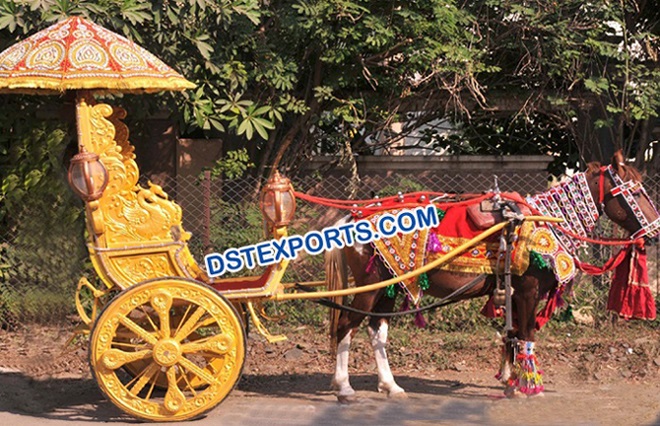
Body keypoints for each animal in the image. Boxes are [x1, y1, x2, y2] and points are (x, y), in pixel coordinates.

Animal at [326, 151, 660, 402]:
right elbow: (527, 334)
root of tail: (351, 217)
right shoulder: (528, 291)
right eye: (634, 191)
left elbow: (513, 334)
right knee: (346, 326)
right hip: (371, 286)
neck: (542, 221)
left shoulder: (514, 293)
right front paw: (529, 387)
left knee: (376, 330)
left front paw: (511, 382)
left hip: (391, 286)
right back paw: (344, 388)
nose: (655, 231)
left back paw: (391, 386)